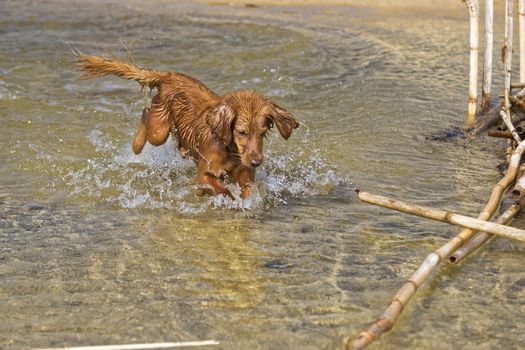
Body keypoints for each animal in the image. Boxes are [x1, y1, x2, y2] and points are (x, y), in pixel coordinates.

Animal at [78, 52, 298, 200]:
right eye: (241, 132)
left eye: (262, 133)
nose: (256, 162)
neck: (230, 149)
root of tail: (169, 75)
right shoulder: (205, 172)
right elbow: (219, 187)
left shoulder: (245, 175)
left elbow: (246, 190)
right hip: (159, 130)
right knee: (145, 114)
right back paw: (137, 145)